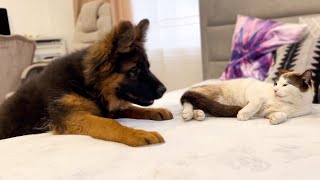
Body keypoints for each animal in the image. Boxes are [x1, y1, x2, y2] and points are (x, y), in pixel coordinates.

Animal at [0, 19, 172, 146]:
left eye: (148, 67)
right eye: (134, 69)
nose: (163, 90)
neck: (86, 83)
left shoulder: (107, 109)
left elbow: (130, 107)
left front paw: (155, 111)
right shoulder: (71, 116)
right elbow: (109, 123)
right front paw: (136, 133)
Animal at [181, 69, 314, 124]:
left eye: (285, 85)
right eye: (276, 84)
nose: (275, 90)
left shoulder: (267, 113)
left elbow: (284, 115)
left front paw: (275, 119)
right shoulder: (253, 90)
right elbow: (257, 102)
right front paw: (244, 114)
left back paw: (198, 114)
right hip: (214, 96)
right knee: (187, 100)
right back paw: (188, 113)